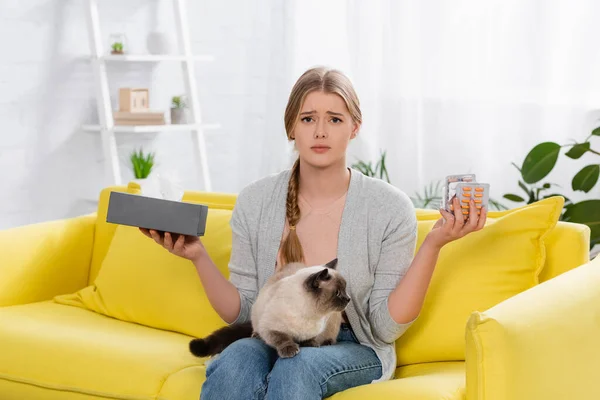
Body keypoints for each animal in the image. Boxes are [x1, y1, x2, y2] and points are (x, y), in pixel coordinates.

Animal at [189, 260, 352, 360]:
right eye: (338, 293)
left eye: (345, 289)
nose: (349, 298)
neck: (310, 315)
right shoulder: (271, 328)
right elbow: (282, 338)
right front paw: (290, 349)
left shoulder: (318, 329)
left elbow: (311, 338)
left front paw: (311, 344)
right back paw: (256, 335)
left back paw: (327, 342)